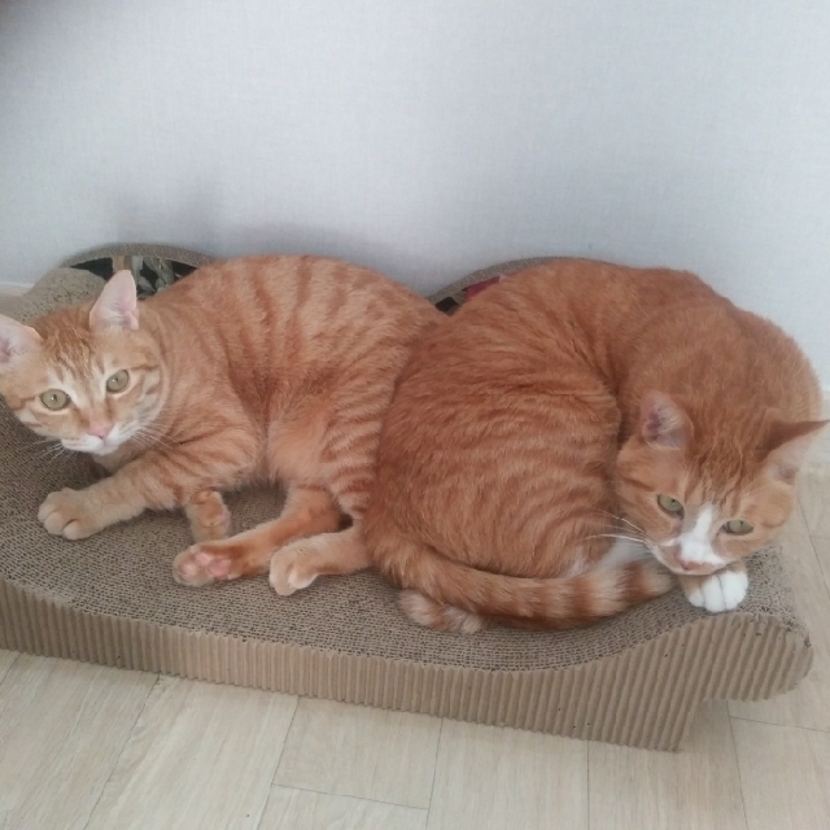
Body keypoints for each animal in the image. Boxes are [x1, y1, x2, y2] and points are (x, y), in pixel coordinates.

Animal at [0, 255, 441, 592]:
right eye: (55, 399)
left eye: (117, 381)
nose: (100, 429)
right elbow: (170, 474)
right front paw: (208, 515)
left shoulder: (231, 439)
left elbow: (143, 473)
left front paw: (85, 503)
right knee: (314, 516)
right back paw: (218, 560)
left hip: (352, 433)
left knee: (376, 541)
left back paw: (299, 558)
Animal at [361, 258, 826, 632]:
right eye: (670, 505)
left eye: (738, 526)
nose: (690, 564)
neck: (740, 382)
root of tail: (382, 509)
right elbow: (644, 534)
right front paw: (710, 578)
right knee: (574, 567)